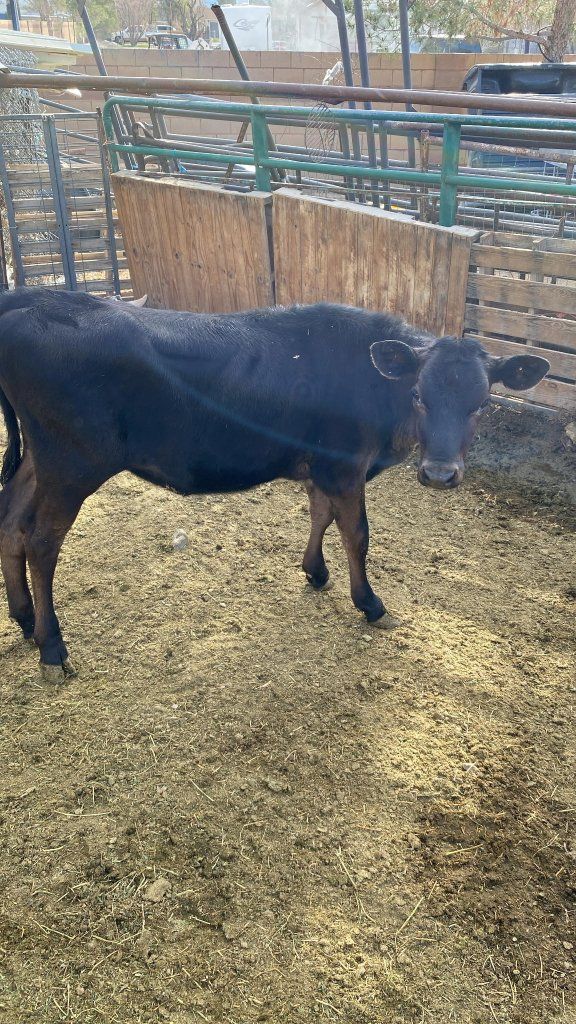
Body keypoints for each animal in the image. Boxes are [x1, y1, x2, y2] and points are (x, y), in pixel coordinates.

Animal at [0, 287, 549, 680]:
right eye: (418, 394)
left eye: (482, 402)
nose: (439, 474)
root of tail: (36, 299)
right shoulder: (344, 465)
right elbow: (357, 534)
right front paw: (370, 604)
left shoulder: (320, 467)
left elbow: (321, 515)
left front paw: (315, 572)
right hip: (72, 463)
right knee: (41, 540)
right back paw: (53, 648)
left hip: (39, 460)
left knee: (11, 521)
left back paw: (25, 620)